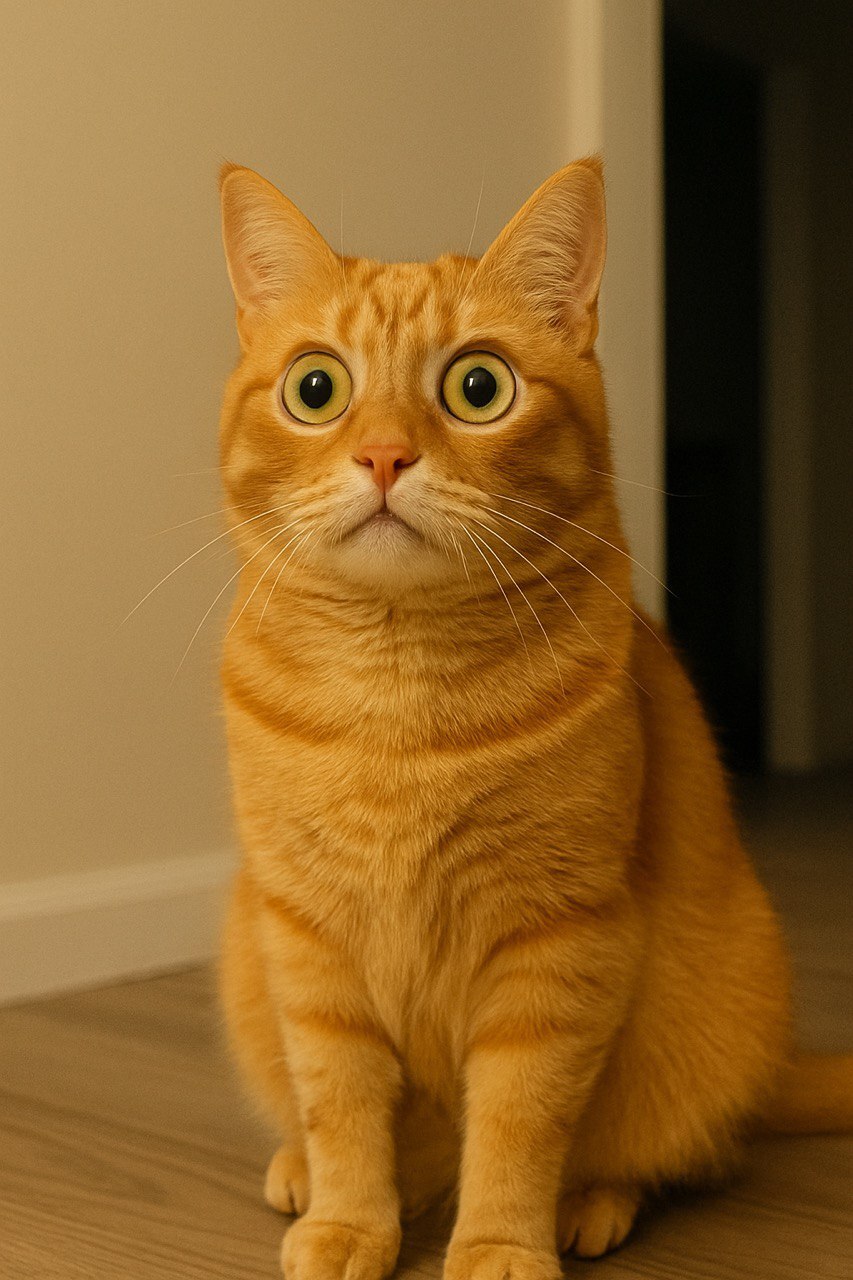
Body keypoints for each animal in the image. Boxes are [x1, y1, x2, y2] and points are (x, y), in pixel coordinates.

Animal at [216, 157, 852, 1280]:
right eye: (315, 388)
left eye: (478, 388)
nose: (384, 457)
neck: (396, 698)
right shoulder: (307, 941)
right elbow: (340, 1103)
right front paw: (349, 1220)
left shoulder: (554, 942)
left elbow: (519, 1120)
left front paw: (500, 1243)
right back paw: (301, 1172)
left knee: (669, 1151)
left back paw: (588, 1204)